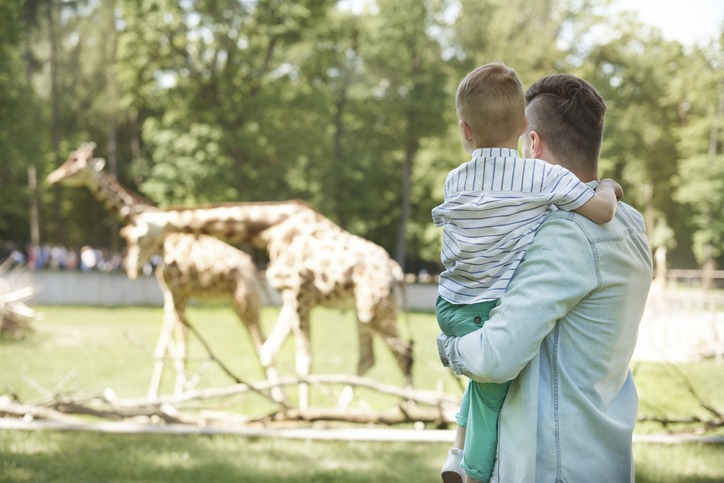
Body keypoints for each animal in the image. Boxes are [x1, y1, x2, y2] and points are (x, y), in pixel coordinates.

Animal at [46, 144, 278, 400]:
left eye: (75, 162)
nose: (53, 176)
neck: (164, 243)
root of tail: (255, 271)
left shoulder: (179, 292)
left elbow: (180, 345)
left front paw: (178, 396)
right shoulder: (169, 293)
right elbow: (166, 345)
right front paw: (157, 395)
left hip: (245, 301)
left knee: (262, 343)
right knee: (261, 344)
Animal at [119, 200, 412, 408]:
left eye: (138, 237)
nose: (132, 268)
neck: (270, 229)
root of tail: (397, 273)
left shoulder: (299, 292)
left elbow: (303, 359)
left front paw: (304, 414)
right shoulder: (290, 296)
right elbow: (270, 351)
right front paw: (286, 407)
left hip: (376, 311)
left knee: (404, 352)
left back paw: (412, 411)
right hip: (365, 314)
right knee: (370, 357)